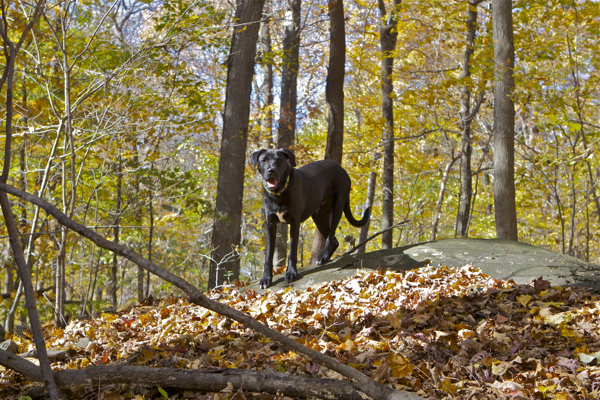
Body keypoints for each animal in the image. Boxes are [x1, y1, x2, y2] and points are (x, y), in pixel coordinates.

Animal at [248, 148, 370, 290]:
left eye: (279, 160)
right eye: (264, 160)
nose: (271, 170)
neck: (278, 193)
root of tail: (341, 169)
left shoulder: (294, 223)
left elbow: (292, 251)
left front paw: (291, 273)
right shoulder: (270, 224)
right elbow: (268, 255)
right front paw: (266, 279)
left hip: (337, 207)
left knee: (331, 236)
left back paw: (322, 257)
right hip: (318, 215)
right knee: (334, 240)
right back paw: (325, 258)